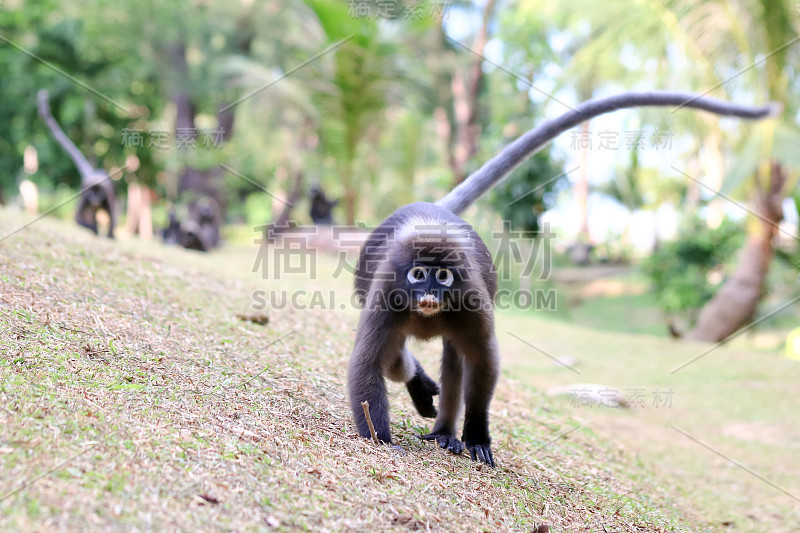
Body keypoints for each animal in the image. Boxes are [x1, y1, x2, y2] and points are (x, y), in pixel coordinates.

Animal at [37, 89, 117, 237]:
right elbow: (77, 219)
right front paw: (93, 229)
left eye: (98, 194)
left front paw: (110, 235)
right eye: (92, 194)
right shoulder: (85, 194)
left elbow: (113, 215)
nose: (95, 200)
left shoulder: (108, 194)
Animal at [346, 88, 780, 466]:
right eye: (419, 274)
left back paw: (445, 432)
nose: (431, 293)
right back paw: (422, 390)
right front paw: (380, 438)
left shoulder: (471, 296)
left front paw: (476, 438)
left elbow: (483, 361)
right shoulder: (386, 291)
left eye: (442, 276)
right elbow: (366, 364)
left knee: (454, 358)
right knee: (394, 359)